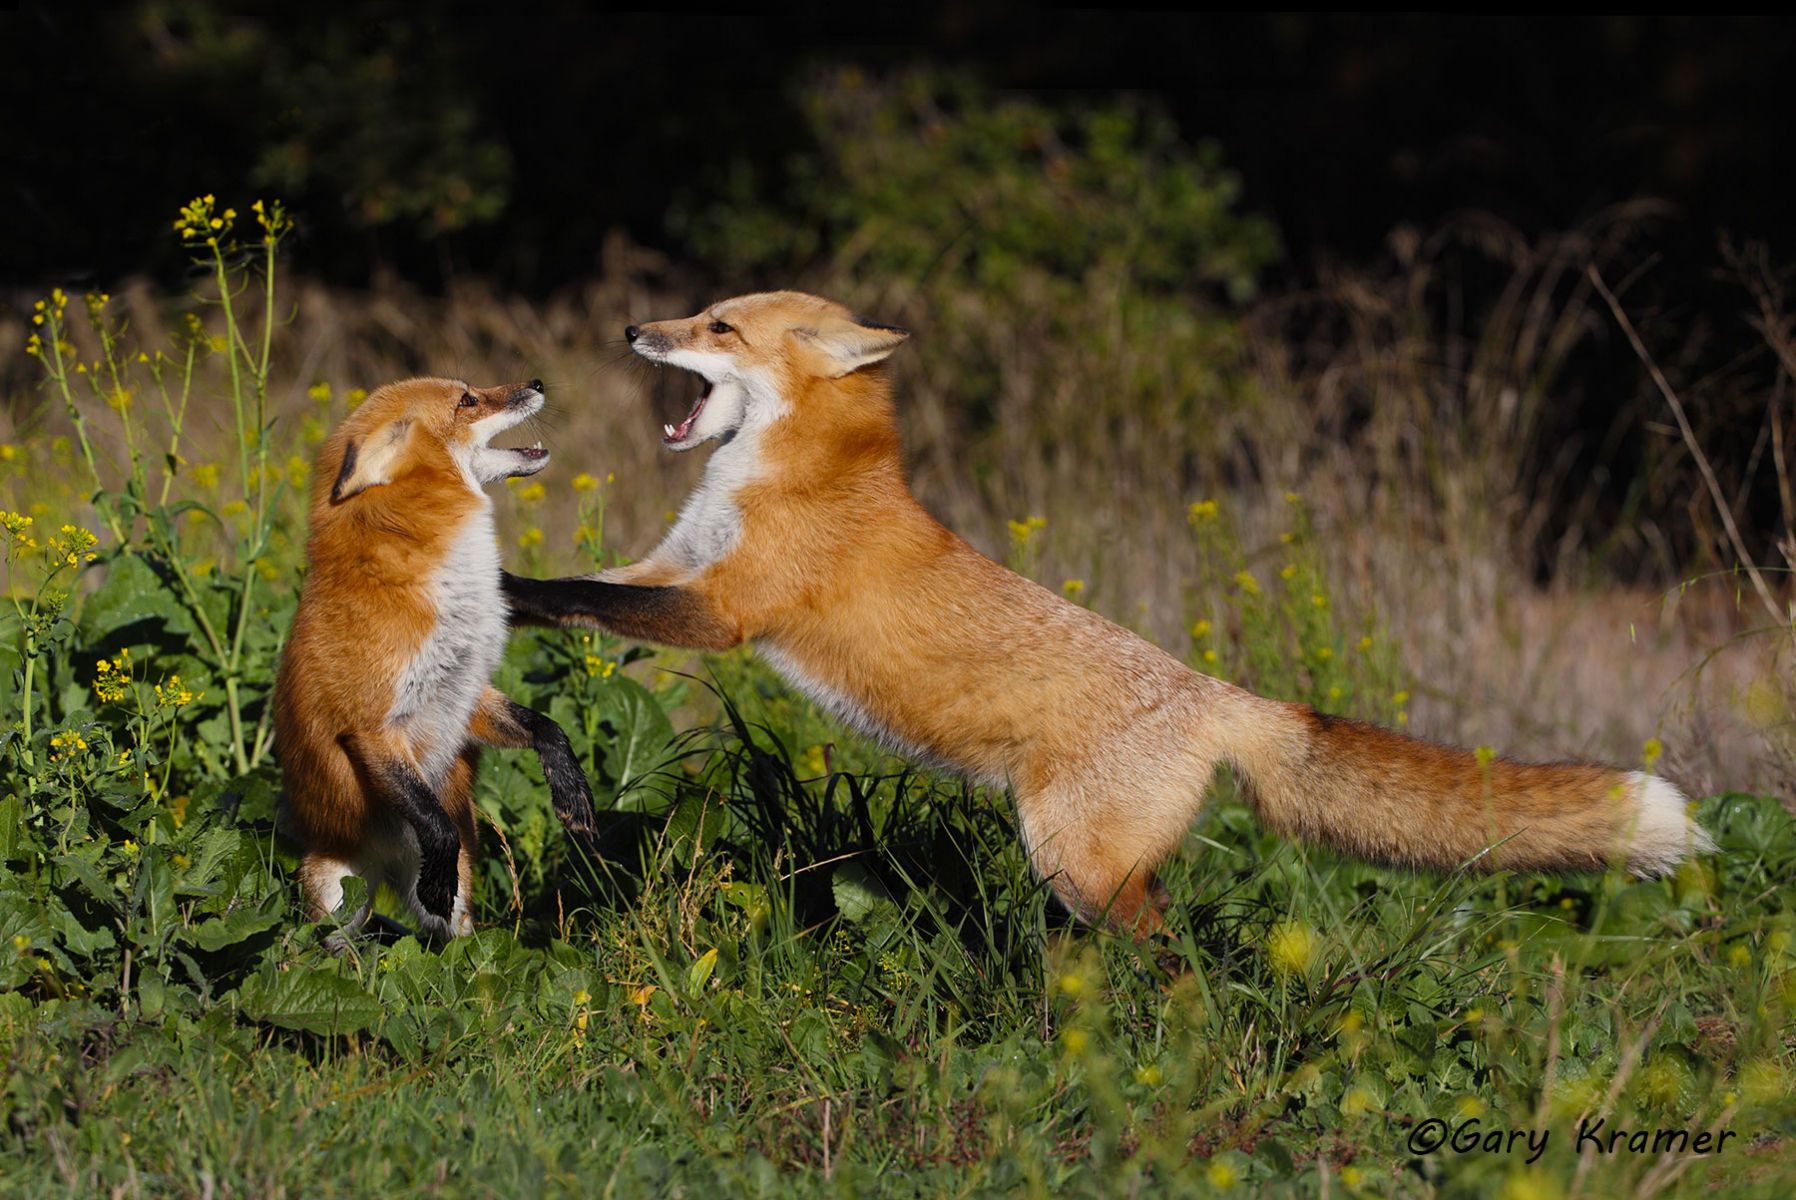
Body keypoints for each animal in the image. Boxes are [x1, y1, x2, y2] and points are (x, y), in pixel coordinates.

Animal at [274, 376, 598, 945]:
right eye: (468, 400)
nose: (537, 383)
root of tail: (386, 870)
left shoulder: (465, 694)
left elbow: (548, 727)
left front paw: (569, 786)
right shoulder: (371, 728)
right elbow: (436, 824)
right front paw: (436, 870)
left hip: (454, 912)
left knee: (451, 950)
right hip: (333, 903)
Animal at [500, 291, 1715, 935]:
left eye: (717, 327)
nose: (632, 329)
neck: (790, 475)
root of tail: (1222, 695)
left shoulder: (728, 613)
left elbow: (574, 595)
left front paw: (501, 591)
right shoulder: (671, 566)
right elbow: (583, 592)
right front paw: (491, 593)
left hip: (1078, 868)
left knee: (1177, 966)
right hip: (1088, 872)